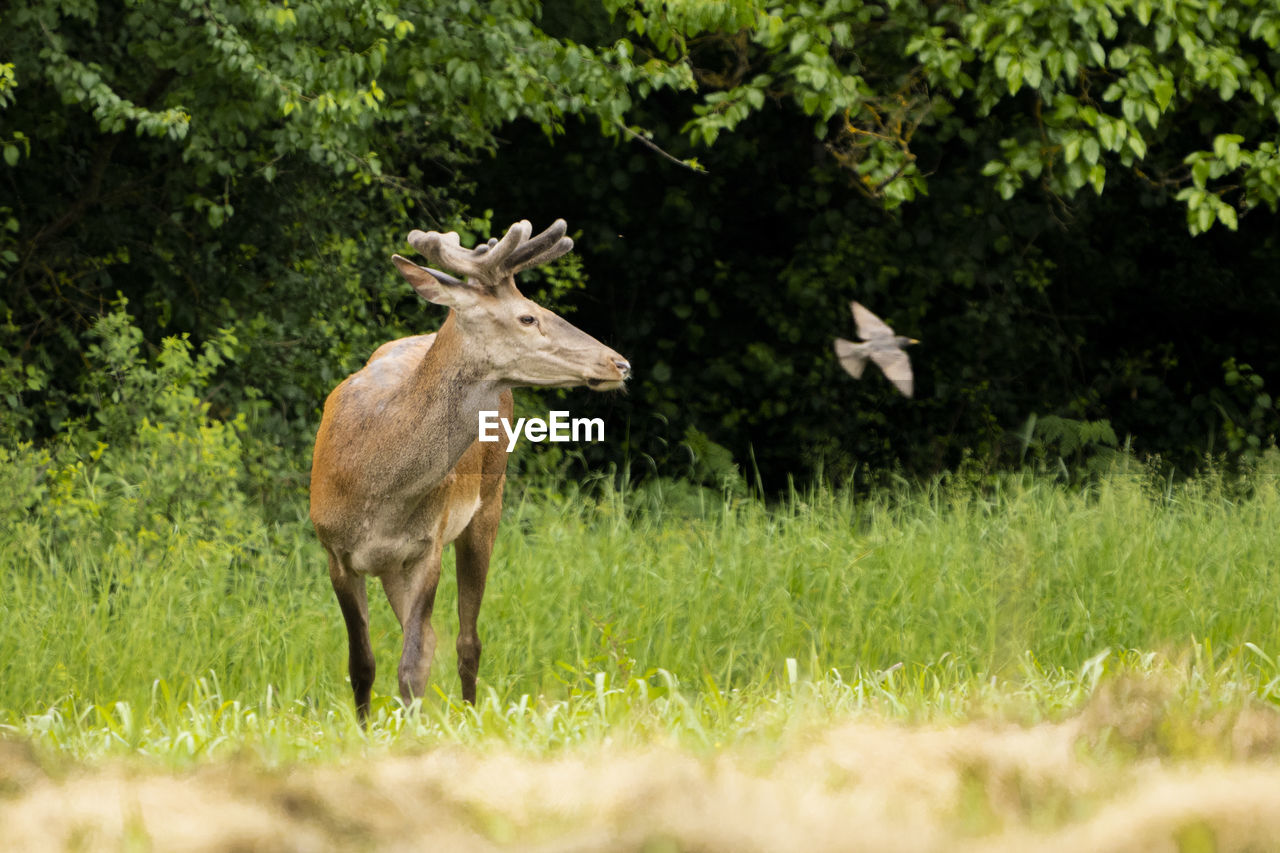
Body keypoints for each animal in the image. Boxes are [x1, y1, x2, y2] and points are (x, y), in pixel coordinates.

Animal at [309, 217, 629, 717]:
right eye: (528, 316)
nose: (619, 362)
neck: (375, 485)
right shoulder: (334, 550)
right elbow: (362, 665)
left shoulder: (428, 544)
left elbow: (413, 664)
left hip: (489, 503)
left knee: (465, 641)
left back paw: (471, 712)